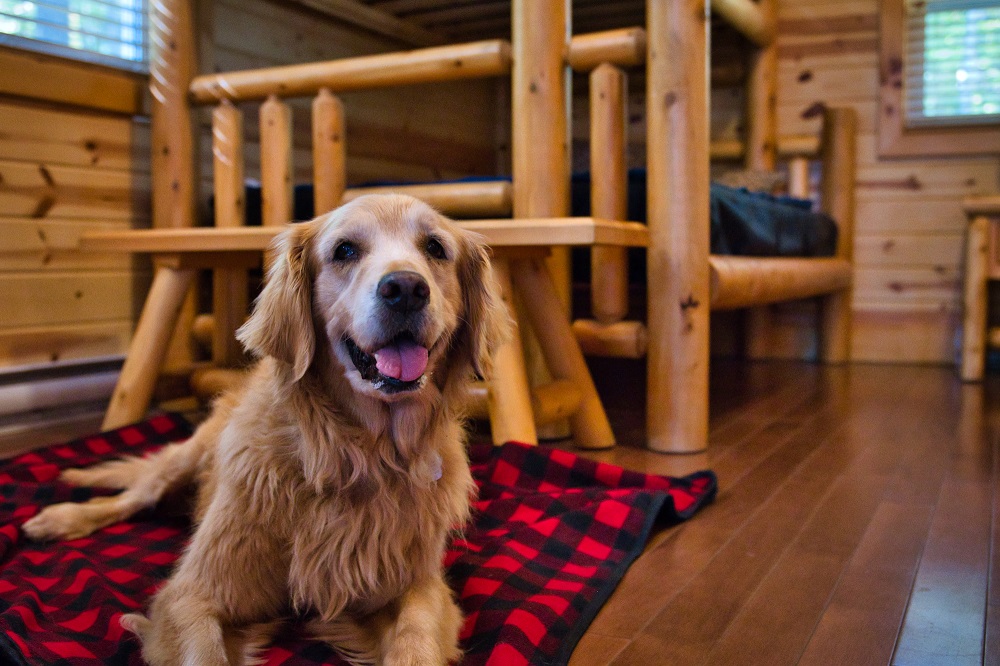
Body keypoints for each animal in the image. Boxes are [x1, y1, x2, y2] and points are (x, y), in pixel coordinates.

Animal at [20, 193, 512, 664]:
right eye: (345, 250)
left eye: (435, 248)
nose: (406, 288)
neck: (355, 452)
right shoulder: (192, 594)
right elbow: (204, 653)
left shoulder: (418, 584)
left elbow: (416, 639)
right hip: (183, 461)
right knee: (129, 498)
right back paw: (61, 518)